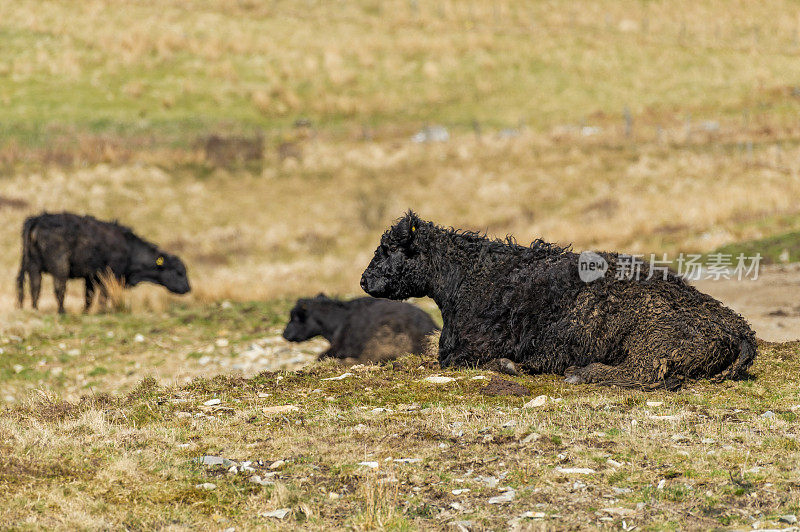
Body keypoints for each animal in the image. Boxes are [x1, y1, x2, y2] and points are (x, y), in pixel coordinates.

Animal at [16, 211, 191, 312]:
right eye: (179, 272)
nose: (188, 288)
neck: (129, 246)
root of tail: (39, 218)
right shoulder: (110, 274)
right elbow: (104, 295)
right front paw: (102, 311)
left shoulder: (91, 277)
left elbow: (89, 296)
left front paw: (86, 312)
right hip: (60, 266)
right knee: (59, 288)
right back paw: (61, 311)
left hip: (33, 265)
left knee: (35, 286)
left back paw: (35, 309)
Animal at [362, 212, 756, 390]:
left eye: (388, 248)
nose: (364, 280)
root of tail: (739, 328)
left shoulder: (469, 349)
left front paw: (510, 366)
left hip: (650, 341)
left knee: (643, 374)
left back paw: (579, 373)